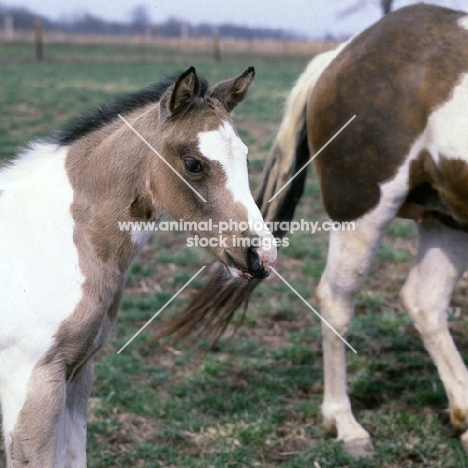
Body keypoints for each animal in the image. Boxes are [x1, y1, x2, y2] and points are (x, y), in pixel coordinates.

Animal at [0, 66, 276, 468]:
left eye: (246, 158)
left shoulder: (78, 371)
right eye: (193, 163)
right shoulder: (31, 379)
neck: (50, 235)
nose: (261, 255)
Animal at [155, 3, 468, 458]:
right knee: (338, 300)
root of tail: (341, 54)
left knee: (425, 300)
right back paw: (344, 421)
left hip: (448, 217)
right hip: (365, 209)